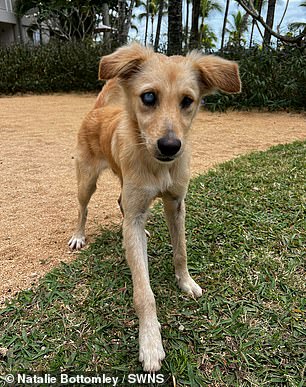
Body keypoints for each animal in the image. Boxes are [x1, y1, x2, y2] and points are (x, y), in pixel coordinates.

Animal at [69, 43, 241, 372]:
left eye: (188, 101)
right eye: (149, 97)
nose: (171, 146)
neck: (157, 166)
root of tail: (98, 111)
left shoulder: (175, 203)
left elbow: (181, 251)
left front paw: (186, 282)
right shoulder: (137, 211)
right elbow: (143, 292)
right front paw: (150, 342)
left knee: (120, 204)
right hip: (86, 181)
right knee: (83, 209)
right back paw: (79, 235)